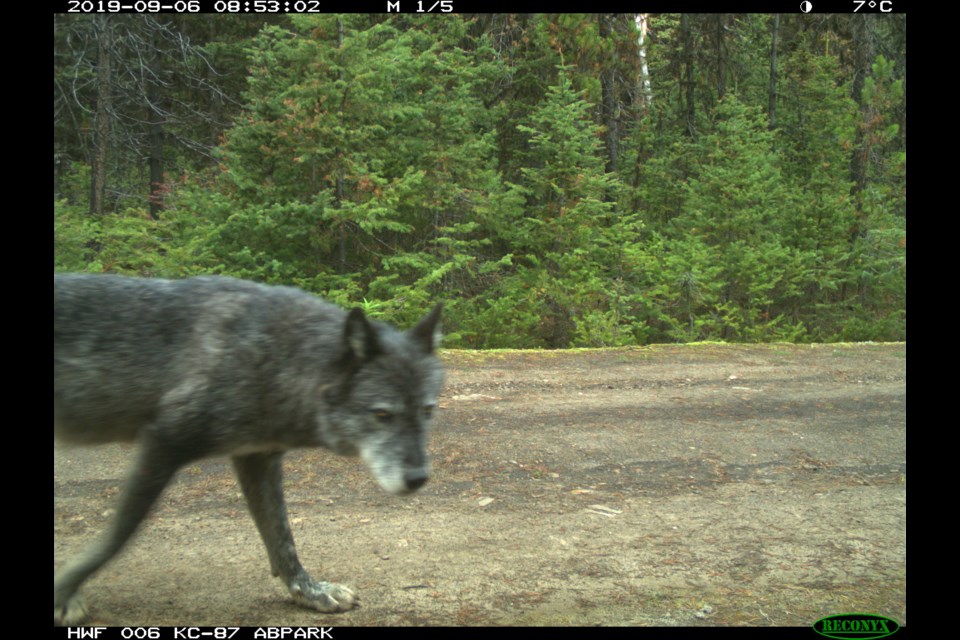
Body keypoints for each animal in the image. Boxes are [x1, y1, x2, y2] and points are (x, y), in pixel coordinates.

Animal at [58, 276, 448, 624]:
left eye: (427, 411)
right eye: (382, 414)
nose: (418, 478)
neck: (279, 355)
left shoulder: (257, 458)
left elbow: (282, 539)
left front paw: (311, 592)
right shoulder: (163, 442)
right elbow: (117, 538)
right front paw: (64, 593)